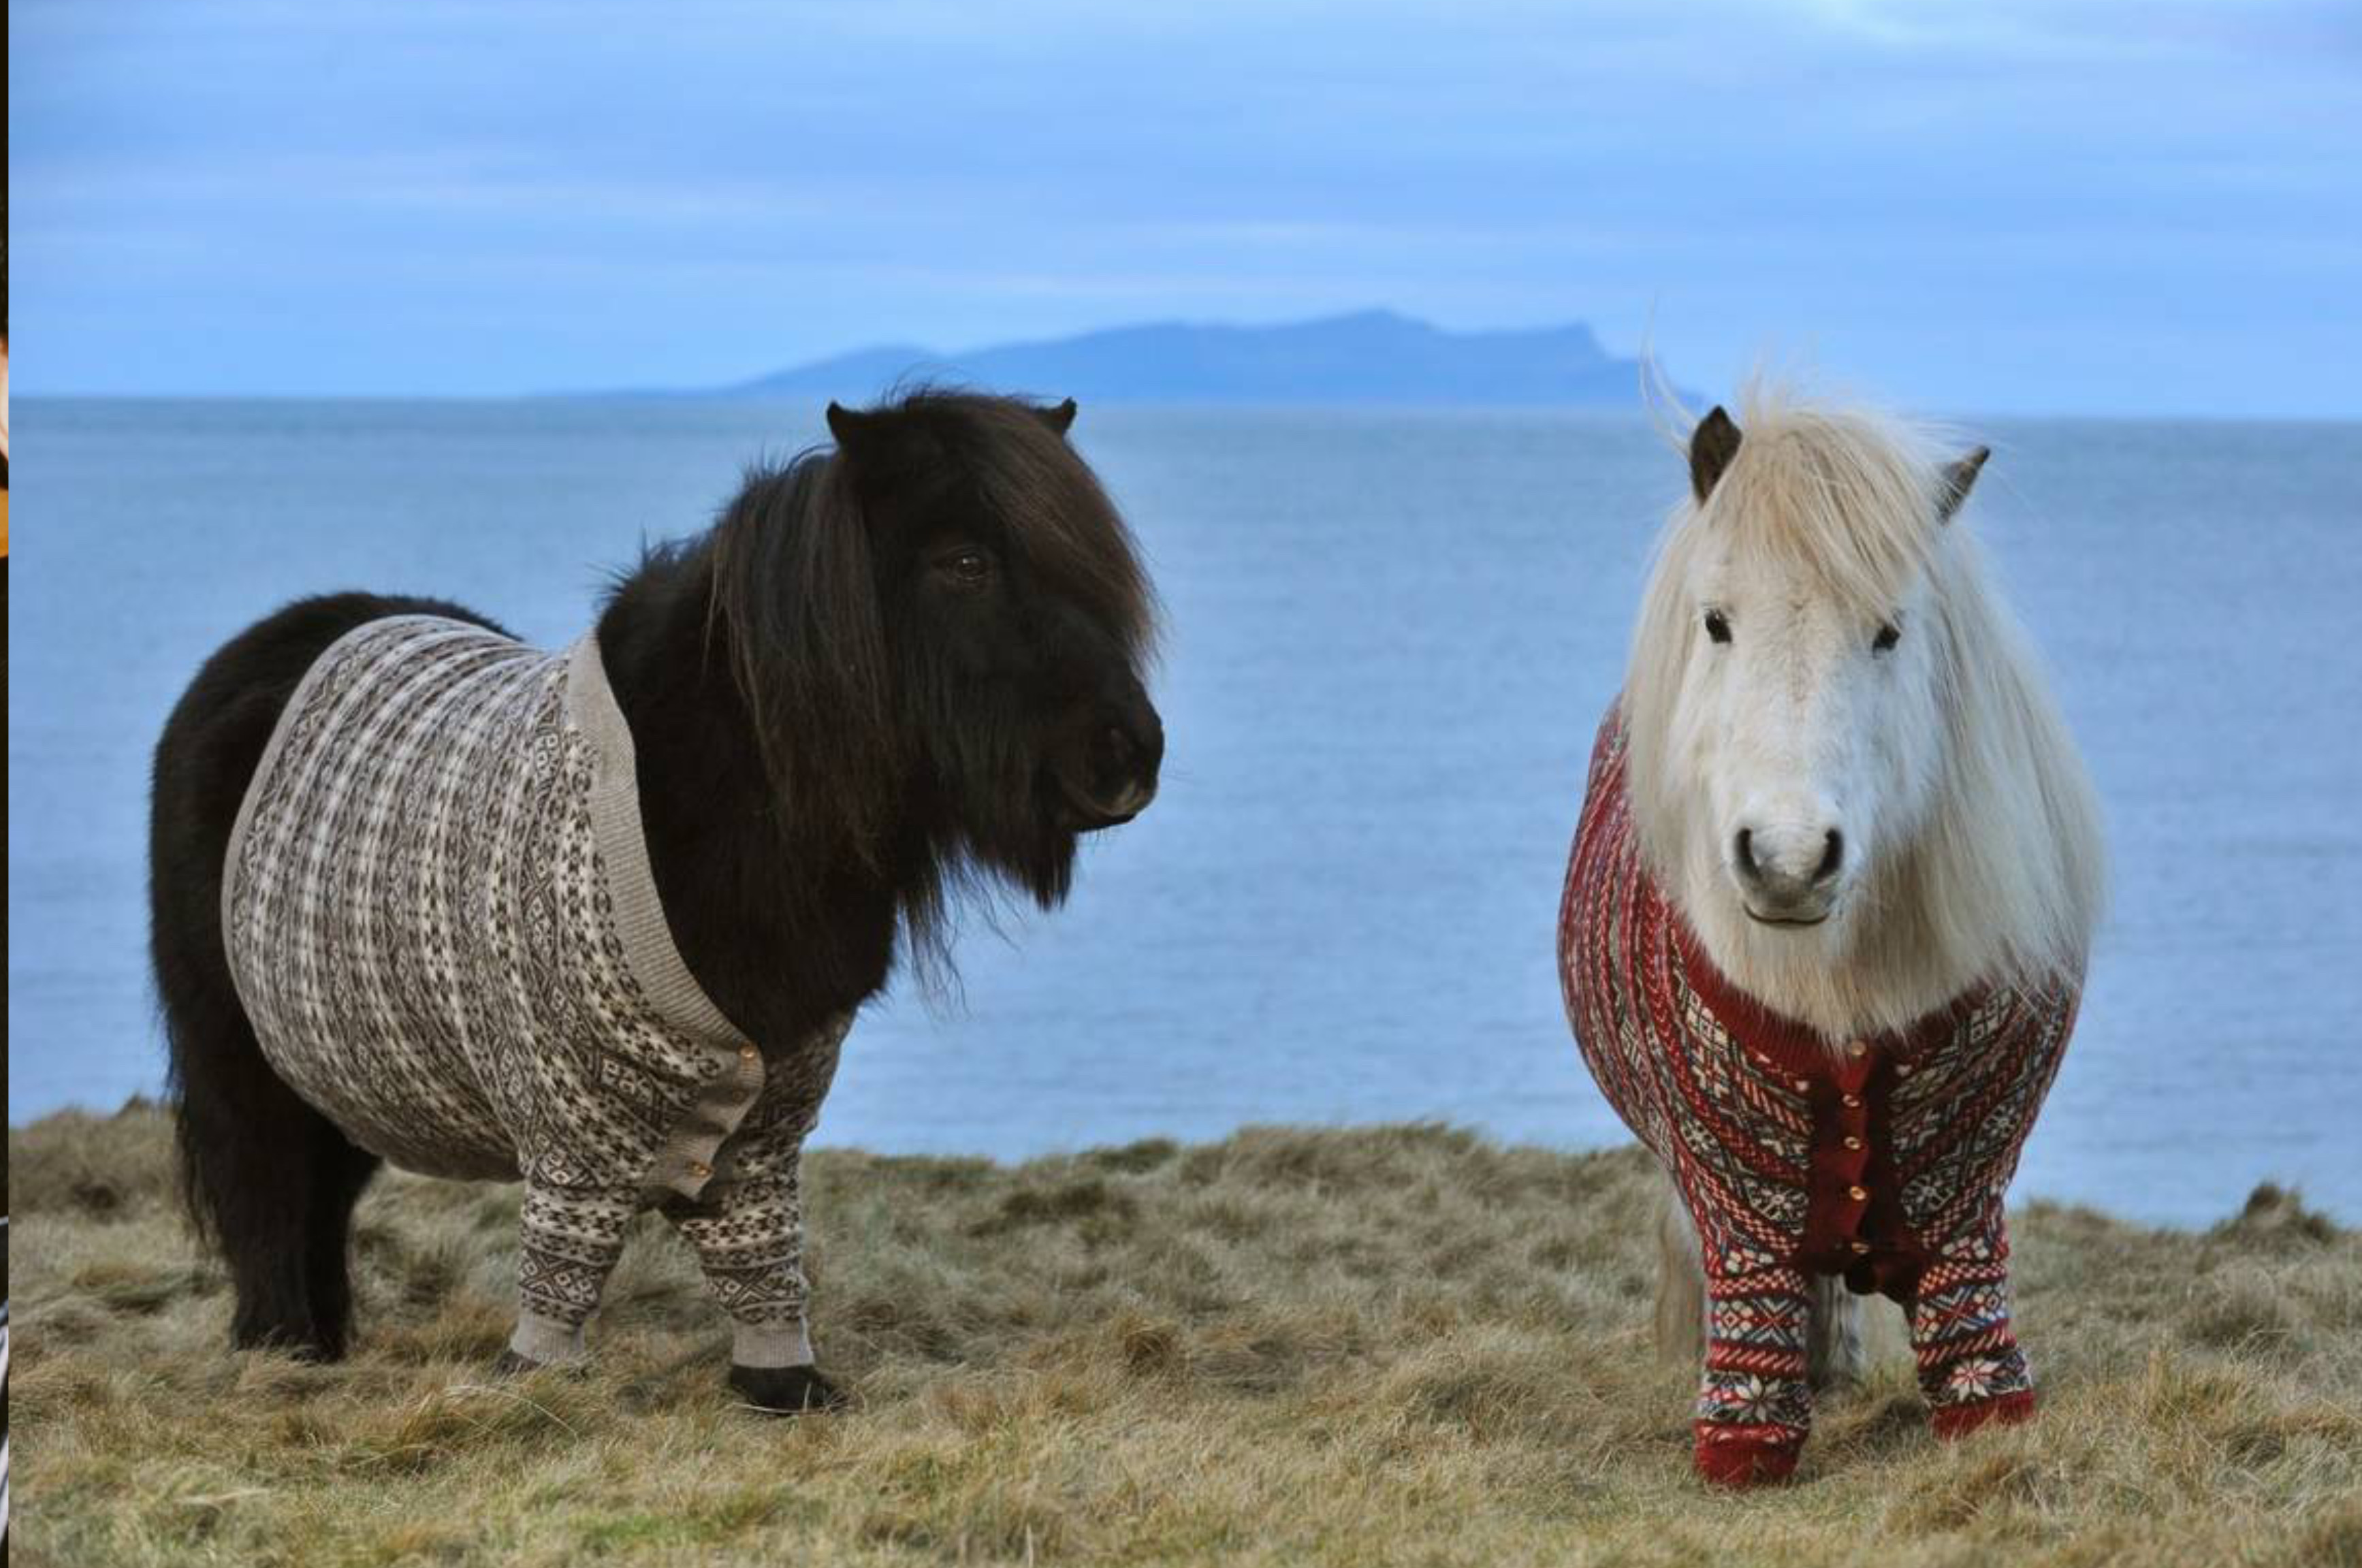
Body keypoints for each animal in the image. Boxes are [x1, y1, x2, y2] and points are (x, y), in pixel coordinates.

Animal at [152, 390, 1163, 1414]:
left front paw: (784, 1382)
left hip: (344, 1066)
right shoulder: (571, 1128)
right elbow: (565, 1256)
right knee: (269, 1187)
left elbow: (761, 1255)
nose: (1129, 757)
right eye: (965, 563)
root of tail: (272, 643)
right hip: (246, 1054)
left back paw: (321, 1342)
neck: (714, 799)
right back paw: (283, 1346)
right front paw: (533, 1381)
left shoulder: (768, 1122)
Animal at [1558, 383, 2105, 1485]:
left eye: (1890, 632)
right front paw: (1747, 1438)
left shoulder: (1962, 1207)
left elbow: (1974, 1348)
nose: (1787, 858)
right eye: (1717, 622)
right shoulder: (1738, 1209)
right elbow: (1749, 1342)